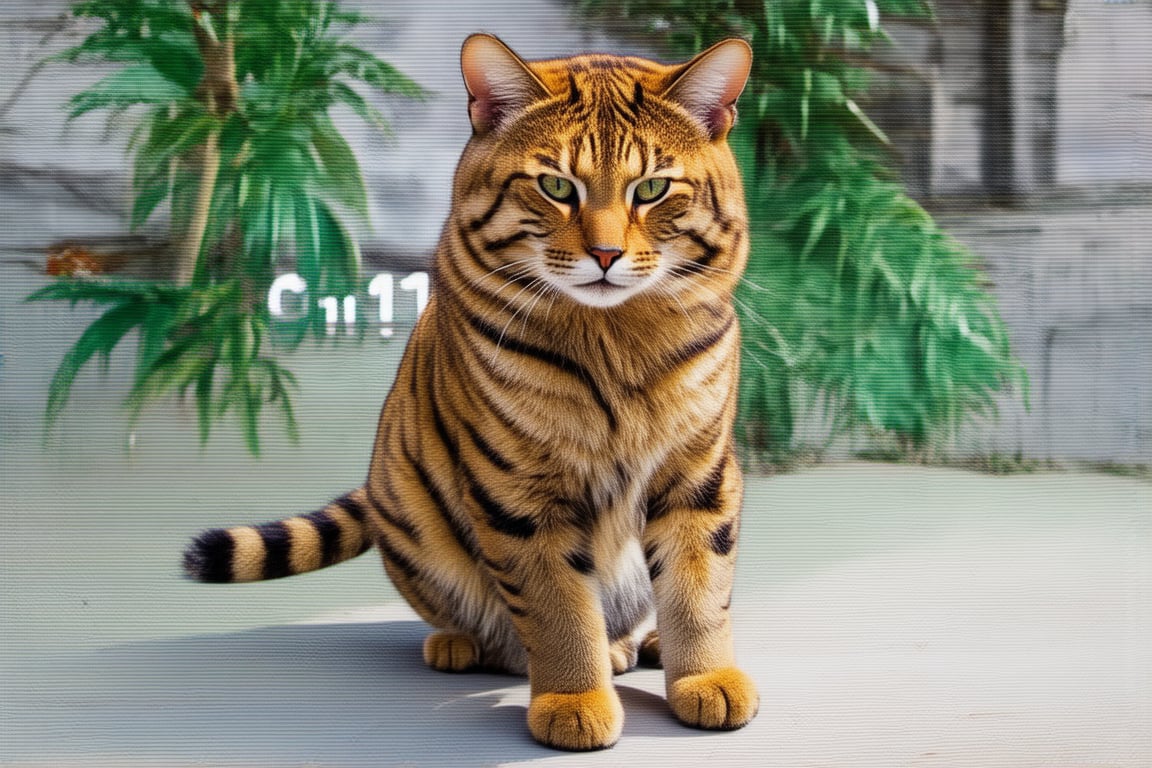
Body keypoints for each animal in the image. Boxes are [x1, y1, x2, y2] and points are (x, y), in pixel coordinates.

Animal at [182, 33, 755, 755]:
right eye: (555, 186)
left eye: (652, 188)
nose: (604, 255)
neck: (612, 333)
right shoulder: (521, 493)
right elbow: (560, 608)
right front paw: (574, 702)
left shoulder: (698, 471)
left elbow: (699, 588)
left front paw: (708, 681)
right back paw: (466, 645)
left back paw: (637, 643)